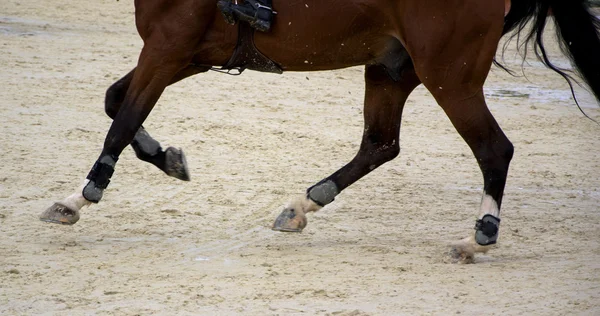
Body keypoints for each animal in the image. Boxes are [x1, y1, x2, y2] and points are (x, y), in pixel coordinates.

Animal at [38, 0, 600, 262]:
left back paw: (479, 237)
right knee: (380, 144)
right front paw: (168, 158)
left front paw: (75, 200)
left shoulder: (167, 47)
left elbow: (121, 123)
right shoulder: (185, 53)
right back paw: (301, 206)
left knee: (493, 149)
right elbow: (117, 104)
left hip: (449, 74)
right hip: (392, 67)